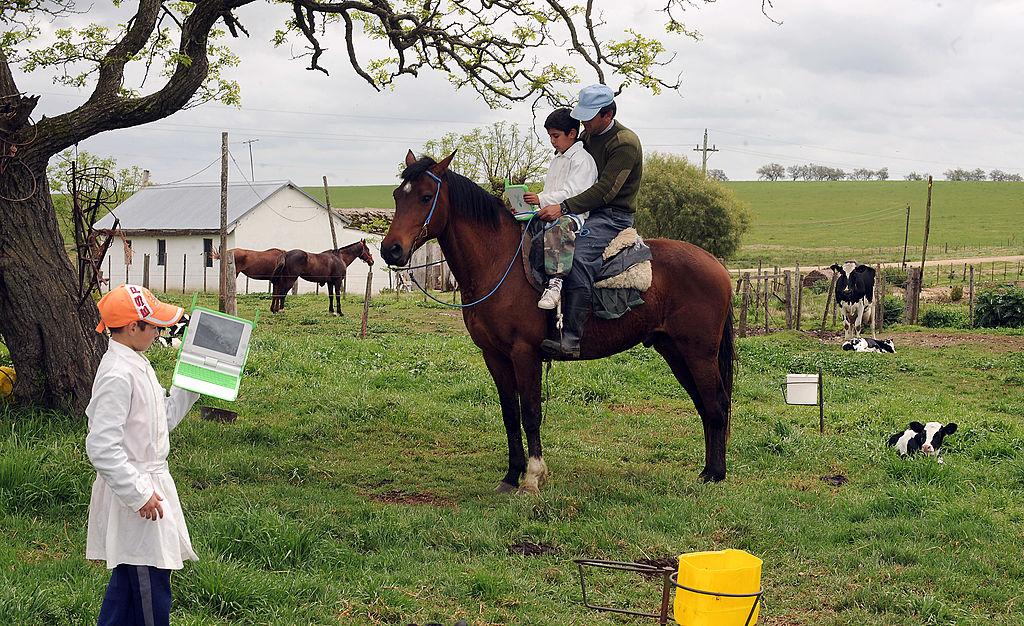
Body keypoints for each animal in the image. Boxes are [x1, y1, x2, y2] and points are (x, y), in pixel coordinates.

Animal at [380, 151, 733, 493]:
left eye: (426, 197)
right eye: (397, 195)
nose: (390, 250)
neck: (499, 264)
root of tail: (717, 266)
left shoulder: (525, 354)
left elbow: (531, 414)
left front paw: (533, 477)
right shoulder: (494, 356)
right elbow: (510, 415)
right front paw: (511, 475)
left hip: (698, 354)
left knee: (716, 405)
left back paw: (715, 475)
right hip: (674, 351)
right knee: (705, 406)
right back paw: (707, 472)